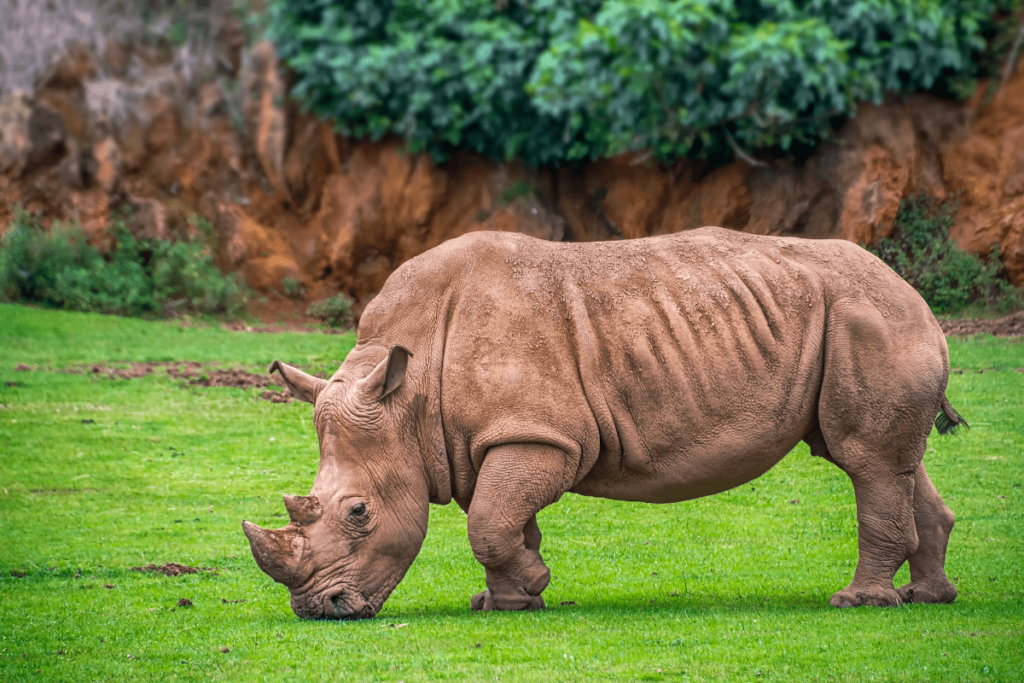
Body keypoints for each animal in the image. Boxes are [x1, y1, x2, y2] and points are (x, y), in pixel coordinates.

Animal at [243, 228, 962, 618]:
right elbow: (504, 519)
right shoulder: (486, 439)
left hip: (868, 315)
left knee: (865, 458)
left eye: (359, 512)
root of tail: (913, 292)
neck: (408, 398)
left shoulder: (540, 433)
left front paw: (526, 589)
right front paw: (510, 600)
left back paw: (858, 602)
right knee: (889, 461)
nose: (320, 609)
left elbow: (490, 523)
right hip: (864, 319)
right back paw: (928, 597)